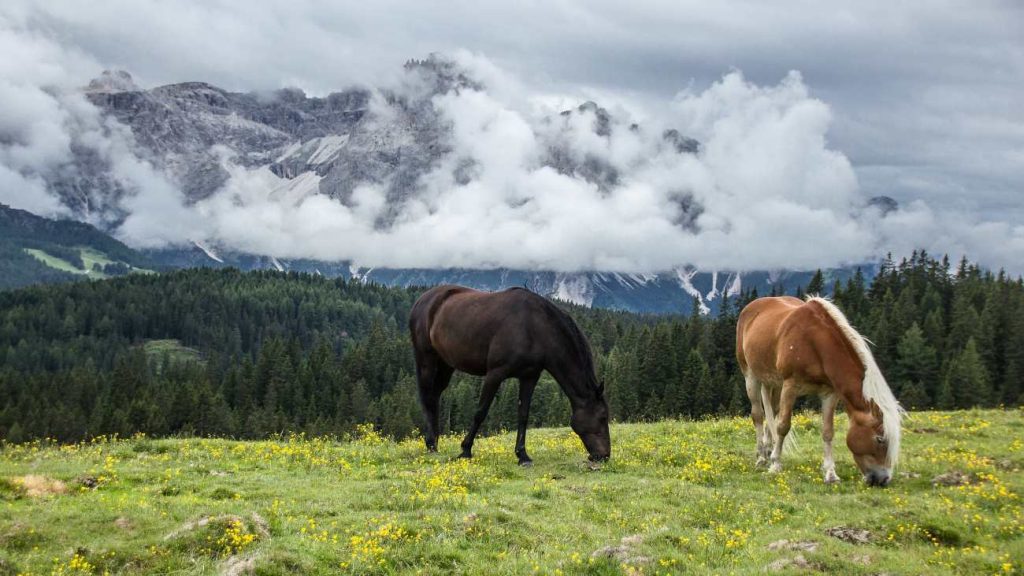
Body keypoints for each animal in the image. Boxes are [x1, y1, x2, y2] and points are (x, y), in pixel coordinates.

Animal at [407, 284, 610, 463]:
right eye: (603, 417)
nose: (604, 455)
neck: (534, 328)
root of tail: (422, 300)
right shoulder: (495, 374)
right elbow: (480, 412)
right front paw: (465, 450)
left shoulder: (529, 377)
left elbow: (523, 415)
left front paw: (522, 455)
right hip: (426, 358)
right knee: (427, 397)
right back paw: (431, 444)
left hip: (446, 364)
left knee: (435, 396)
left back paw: (435, 442)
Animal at [737, 295, 905, 483]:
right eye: (880, 439)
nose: (883, 479)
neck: (815, 342)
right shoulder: (790, 386)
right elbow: (783, 426)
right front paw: (775, 465)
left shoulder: (829, 394)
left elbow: (827, 432)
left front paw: (831, 473)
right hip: (751, 376)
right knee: (758, 415)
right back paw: (761, 457)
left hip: (775, 383)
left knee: (771, 412)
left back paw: (767, 452)